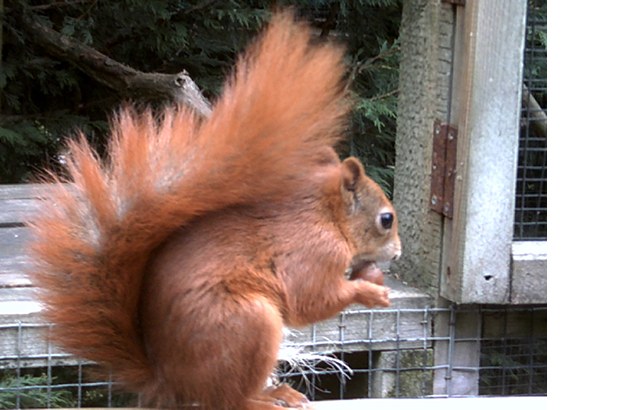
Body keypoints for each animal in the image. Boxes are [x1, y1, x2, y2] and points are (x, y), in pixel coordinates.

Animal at [27, 12, 402, 410]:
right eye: (386, 219)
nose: (398, 253)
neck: (326, 216)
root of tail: (172, 384)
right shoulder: (313, 252)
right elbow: (310, 300)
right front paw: (369, 292)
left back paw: (275, 391)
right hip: (247, 324)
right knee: (229, 399)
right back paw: (264, 399)